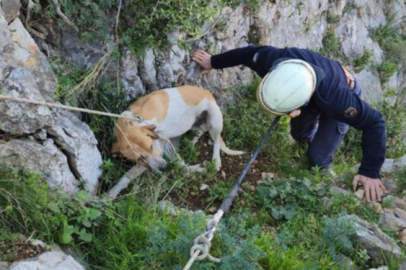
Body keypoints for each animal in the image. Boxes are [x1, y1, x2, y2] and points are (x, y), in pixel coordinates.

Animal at [111, 85, 243, 172]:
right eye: (140, 158)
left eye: (151, 146)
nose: (164, 168)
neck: (134, 119)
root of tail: (208, 93)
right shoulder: (162, 141)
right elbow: (179, 163)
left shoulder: (163, 140)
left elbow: (178, 161)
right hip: (195, 124)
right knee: (202, 129)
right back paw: (190, 143)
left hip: (214, 121)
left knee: (216, 141)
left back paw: (216, 160)